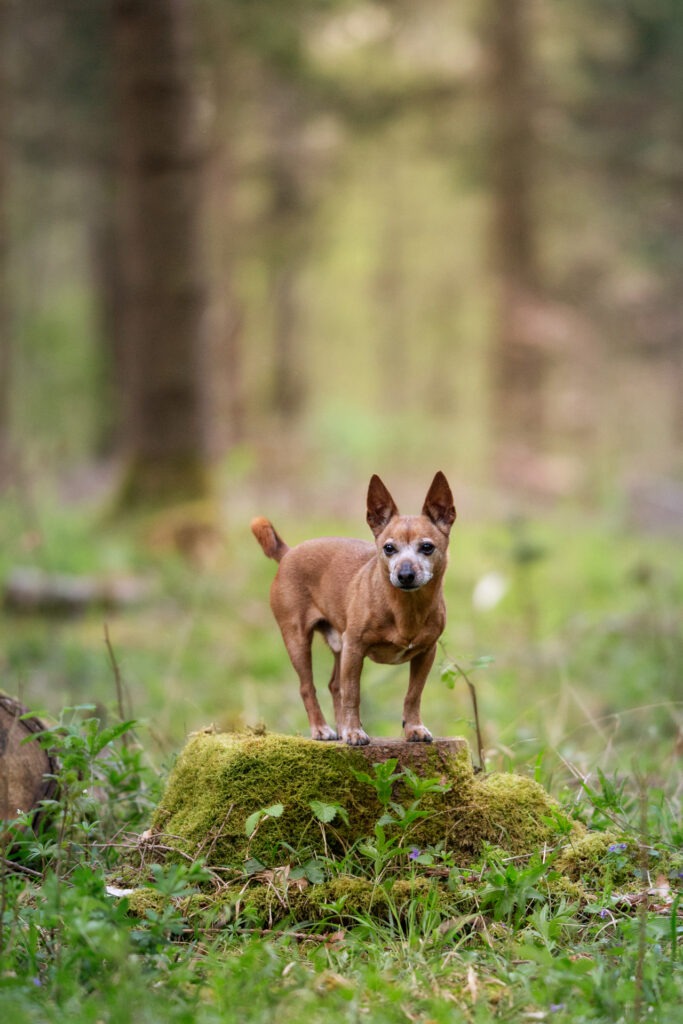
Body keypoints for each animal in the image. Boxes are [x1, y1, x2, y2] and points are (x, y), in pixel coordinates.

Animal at [249, 471, 454, 745]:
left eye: (427, 547)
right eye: (389, 548)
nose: (405, 574)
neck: (404, 608)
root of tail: (288, 553)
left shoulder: (426, 653)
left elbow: (413, 693)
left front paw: (413, 728)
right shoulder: (355, 649)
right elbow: (353, 693)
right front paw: (354, 732)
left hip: (339, 645)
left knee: (335, 685)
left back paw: (340, 727)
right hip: (298, 640)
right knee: (308, 687)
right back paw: (322, 729)